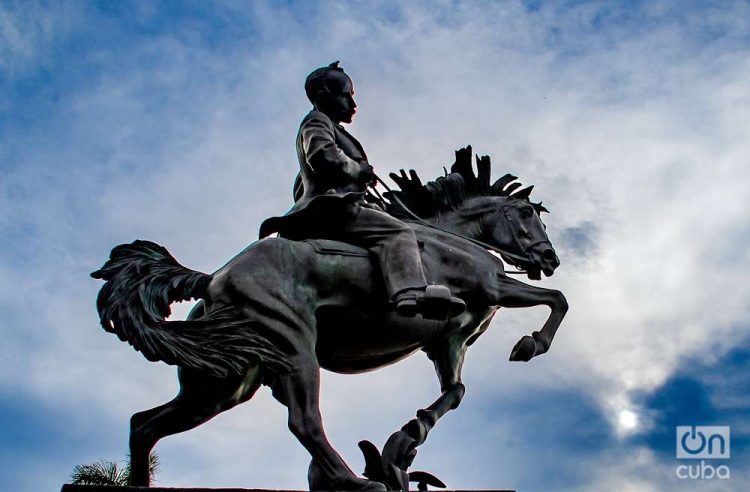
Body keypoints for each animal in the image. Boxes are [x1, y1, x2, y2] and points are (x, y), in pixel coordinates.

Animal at [91, 148, 568, 490]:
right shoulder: (493, 287)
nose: (549, 258)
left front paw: (404, 441)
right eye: (526, 213)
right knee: (304, 421)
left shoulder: (448, 343)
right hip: (293, 347)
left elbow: (454, 393)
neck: (451, 237)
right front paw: (530, 344)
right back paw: (354, 483)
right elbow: (558, 300)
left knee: (144, 425)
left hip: (223, 381)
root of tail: (213, 280)